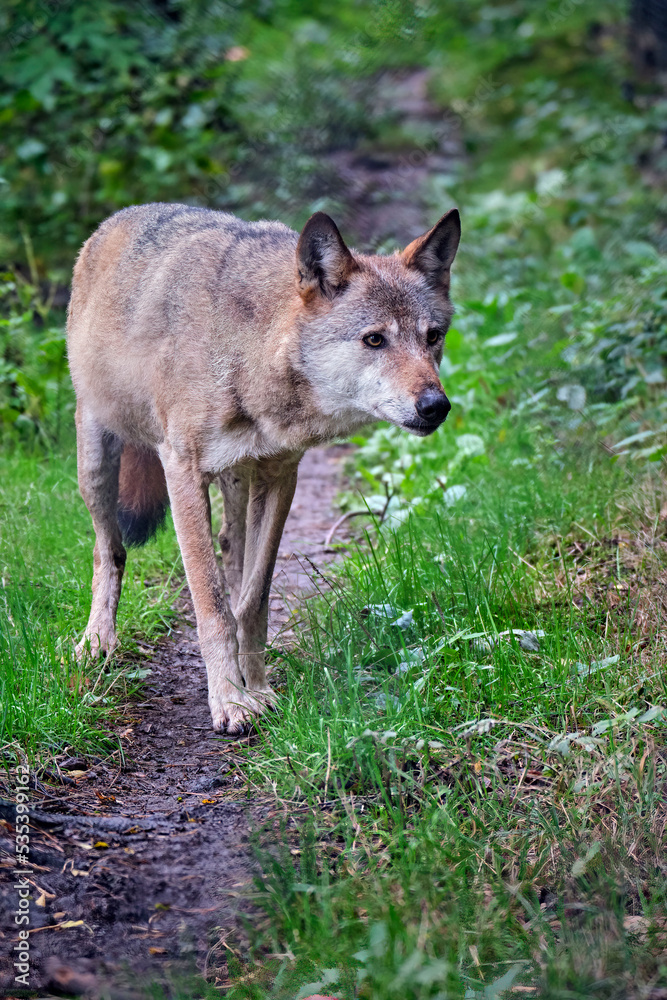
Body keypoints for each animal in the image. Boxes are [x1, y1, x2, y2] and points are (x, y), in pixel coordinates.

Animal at [67, 203, 460, 734]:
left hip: (237, 481)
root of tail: (118, 219)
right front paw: (230, 702)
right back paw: (97, 644)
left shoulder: (281, 476)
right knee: (108, 550)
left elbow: (251, 602)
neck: (246, 350)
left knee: (231, 550)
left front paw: (258, 690)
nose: (436, 406)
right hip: (97, 463)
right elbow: (212, 606)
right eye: (375, 340)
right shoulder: (181, 472)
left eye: (432, 337)